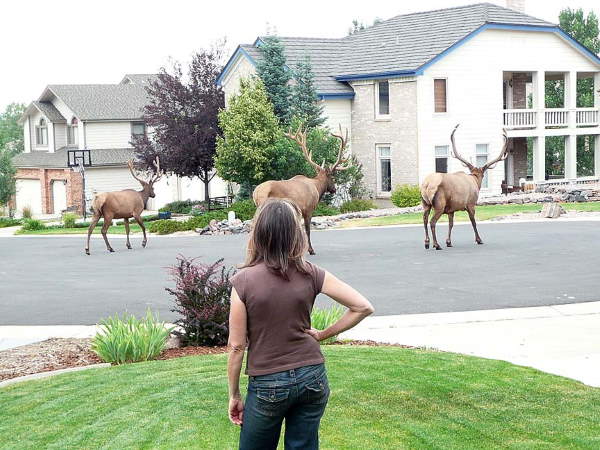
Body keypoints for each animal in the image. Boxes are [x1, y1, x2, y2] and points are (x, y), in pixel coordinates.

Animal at [251, 125, 350, 255]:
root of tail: (255, 192)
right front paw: (310, 250)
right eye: (332, 177)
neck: (317, 188)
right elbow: (307, 230)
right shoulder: (308, 209)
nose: (334, 189)